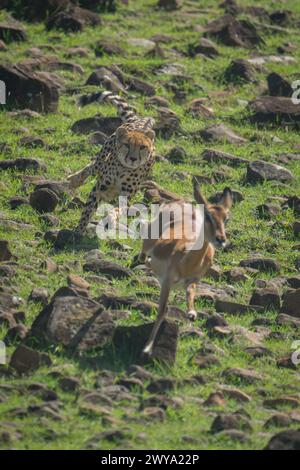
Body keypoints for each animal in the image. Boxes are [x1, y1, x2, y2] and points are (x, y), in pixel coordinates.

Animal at [67, 91, 156, 237]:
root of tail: (139, 121)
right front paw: (79, 230)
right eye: (127, 145)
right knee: (92, 166)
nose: (133, 158)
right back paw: (74, 180)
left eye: (142, 147)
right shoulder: (99, 188)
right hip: (102, 157)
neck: (123, 168)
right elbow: (88, 209)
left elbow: (116, 210)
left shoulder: (125, 196)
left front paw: (110, 219)